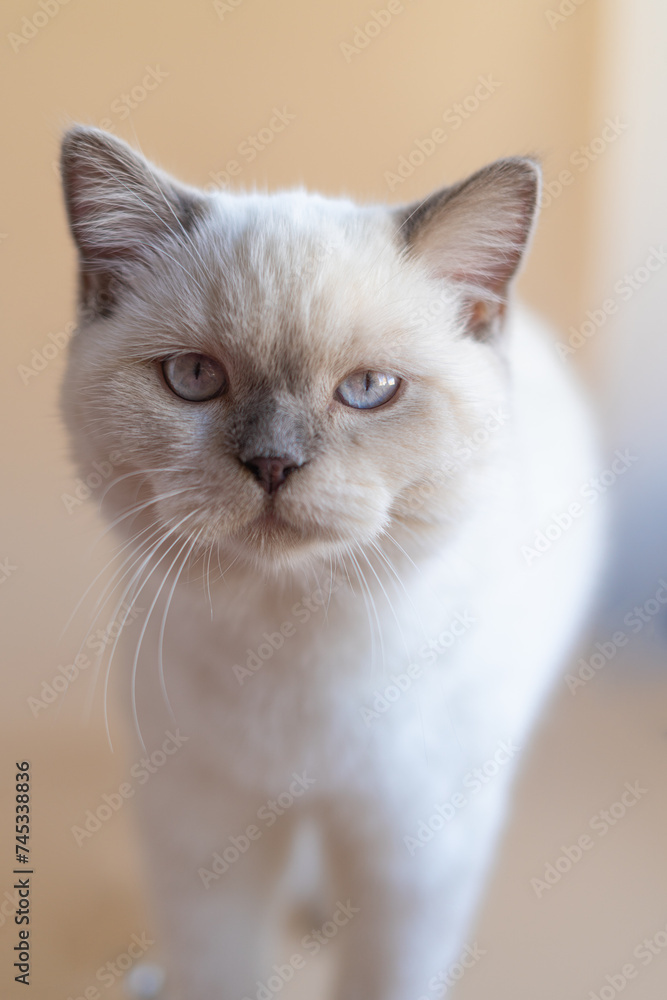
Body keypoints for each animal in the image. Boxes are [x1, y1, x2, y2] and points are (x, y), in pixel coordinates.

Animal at [60, 127, 604, 1000]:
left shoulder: (413, 859)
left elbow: (384, 978)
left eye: (369, 389)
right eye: (195, 378)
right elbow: (221, 975)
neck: (291, 643)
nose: (272, 464)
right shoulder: (204, 840)